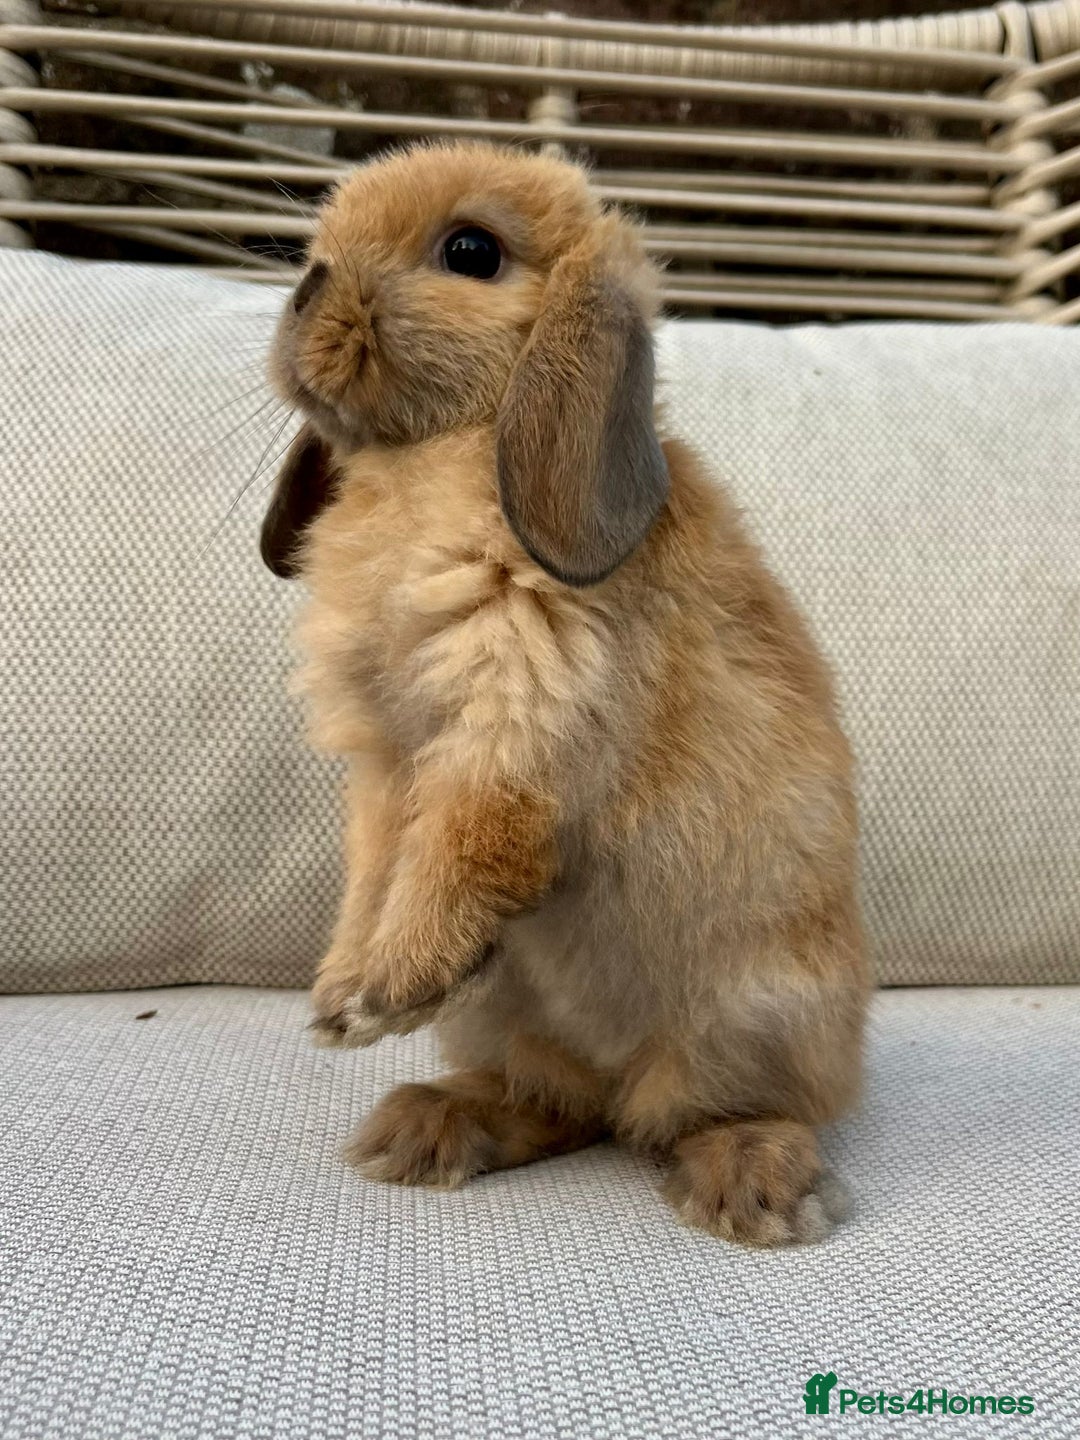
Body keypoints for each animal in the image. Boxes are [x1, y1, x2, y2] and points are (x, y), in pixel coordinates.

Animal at [261, 140, 868, 1247]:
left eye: (471, 251)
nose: (306, 287)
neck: (434, 455)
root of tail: (621, 1074)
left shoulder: (510, 729)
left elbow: (464, 849)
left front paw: (387, 994)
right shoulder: (384, 768)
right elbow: (375, 874)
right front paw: (339, 1000)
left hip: (751, 1012)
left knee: (726, 1113)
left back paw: (753, 1188)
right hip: (511, 1021)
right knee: (556, 1106)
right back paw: (425, 1129)